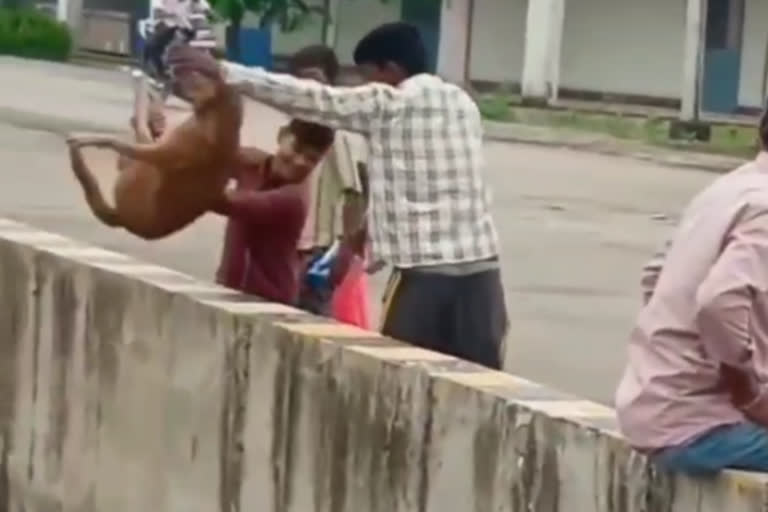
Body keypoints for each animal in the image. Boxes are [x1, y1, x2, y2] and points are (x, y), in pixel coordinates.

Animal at [66, 65, 242, 239]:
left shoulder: (161, 152)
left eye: (195, 78)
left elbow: (123, 141)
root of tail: (122, 220)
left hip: (134, 174)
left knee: (137, 128)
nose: (171, 77)